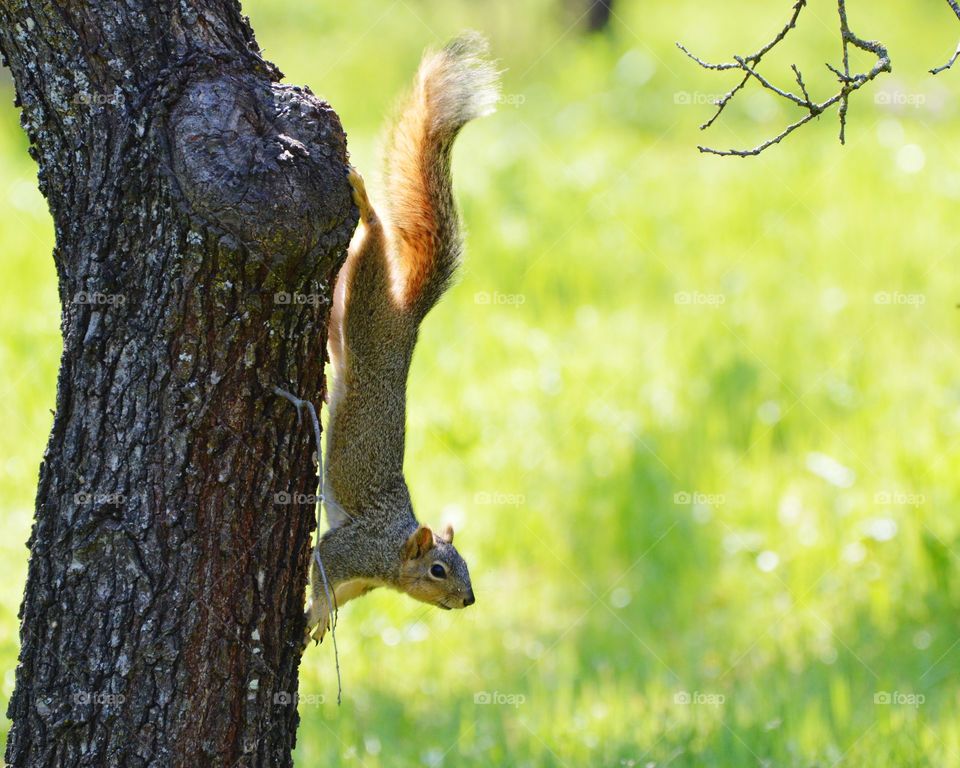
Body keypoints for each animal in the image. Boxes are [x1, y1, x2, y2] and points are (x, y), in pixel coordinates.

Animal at [304, 33, 499, 646]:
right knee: (372, 242)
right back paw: (366, 206)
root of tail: (408, 320)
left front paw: (316, 622)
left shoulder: (362, 581)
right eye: (438, 570)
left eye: (465, 566)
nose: (469, 599)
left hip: (354, 324)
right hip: (371, 306)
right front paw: (315, 616)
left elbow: (340, 597)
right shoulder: (347, 549)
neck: (391, 557)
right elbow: (322, 570)